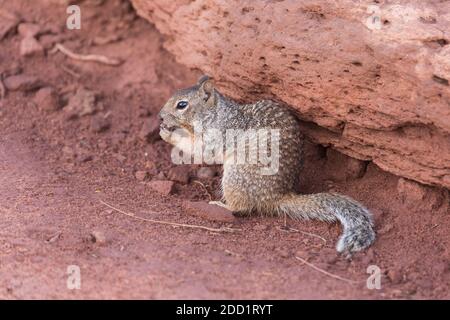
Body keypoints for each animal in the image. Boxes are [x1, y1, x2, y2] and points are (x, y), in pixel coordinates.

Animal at [160, 75, 374, 255]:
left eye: (182, 105)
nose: (160, 116)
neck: (215, 114)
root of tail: (278, 196)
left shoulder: (219, 133)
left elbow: (202, 150)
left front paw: (169, 134)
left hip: (236, 174)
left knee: (242, 207)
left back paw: (221, 205)